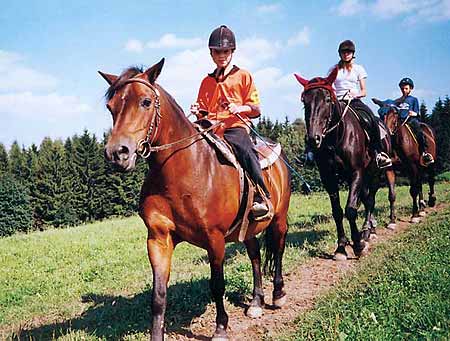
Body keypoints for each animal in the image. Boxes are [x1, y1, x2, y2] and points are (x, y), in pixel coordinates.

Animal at [98, 59, 292, 340]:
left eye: (146, 101)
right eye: (111, 107)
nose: (117, 153)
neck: (182, 171)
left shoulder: (215, 239)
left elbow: (217, 284)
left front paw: (220, 327)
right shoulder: (158, 239)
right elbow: (158, 295)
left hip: (279, 218)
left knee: (277, 250)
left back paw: (277, 294)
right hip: (247, 228)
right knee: (255, 255)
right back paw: (256, 301)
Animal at [294, 69, 396, 260]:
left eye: (327, 99)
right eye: (305, 101)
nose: (313, 139)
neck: (336, 139)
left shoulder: (356, 172)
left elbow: (351, 209)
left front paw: (357, 245)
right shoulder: (328, 178)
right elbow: (337, 211)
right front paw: (341, 247)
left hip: (374, 173)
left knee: (370, 201)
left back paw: (367, 232)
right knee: (366, 199)